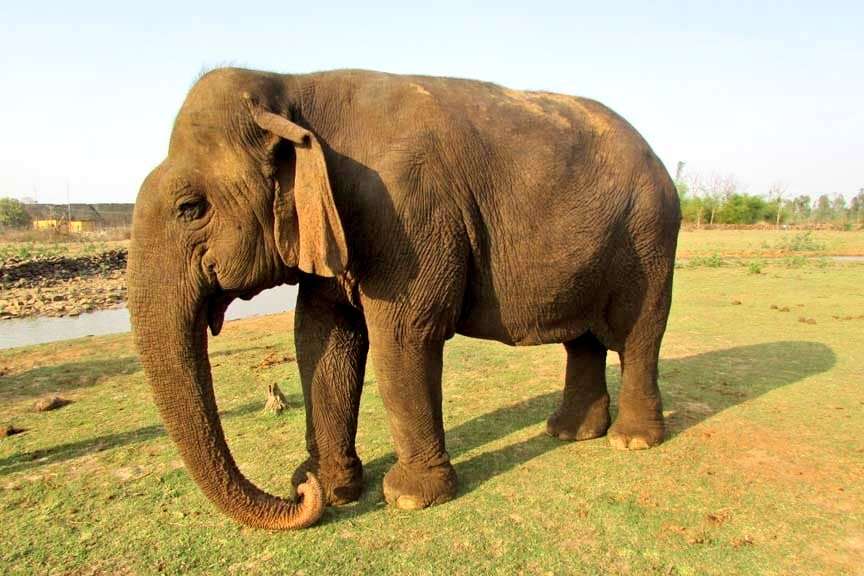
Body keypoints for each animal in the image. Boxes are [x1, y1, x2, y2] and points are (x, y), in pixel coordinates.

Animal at [128, 67, 681, 530]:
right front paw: (333, 487)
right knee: (583, 339)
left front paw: (410, 499)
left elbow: (402, 334)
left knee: (639, 333)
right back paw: (568, 433)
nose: (299, 490)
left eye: (190, 208)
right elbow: (321, 337)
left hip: (651, 236)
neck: (293, 87)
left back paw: (631, 441)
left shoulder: (407, 213)